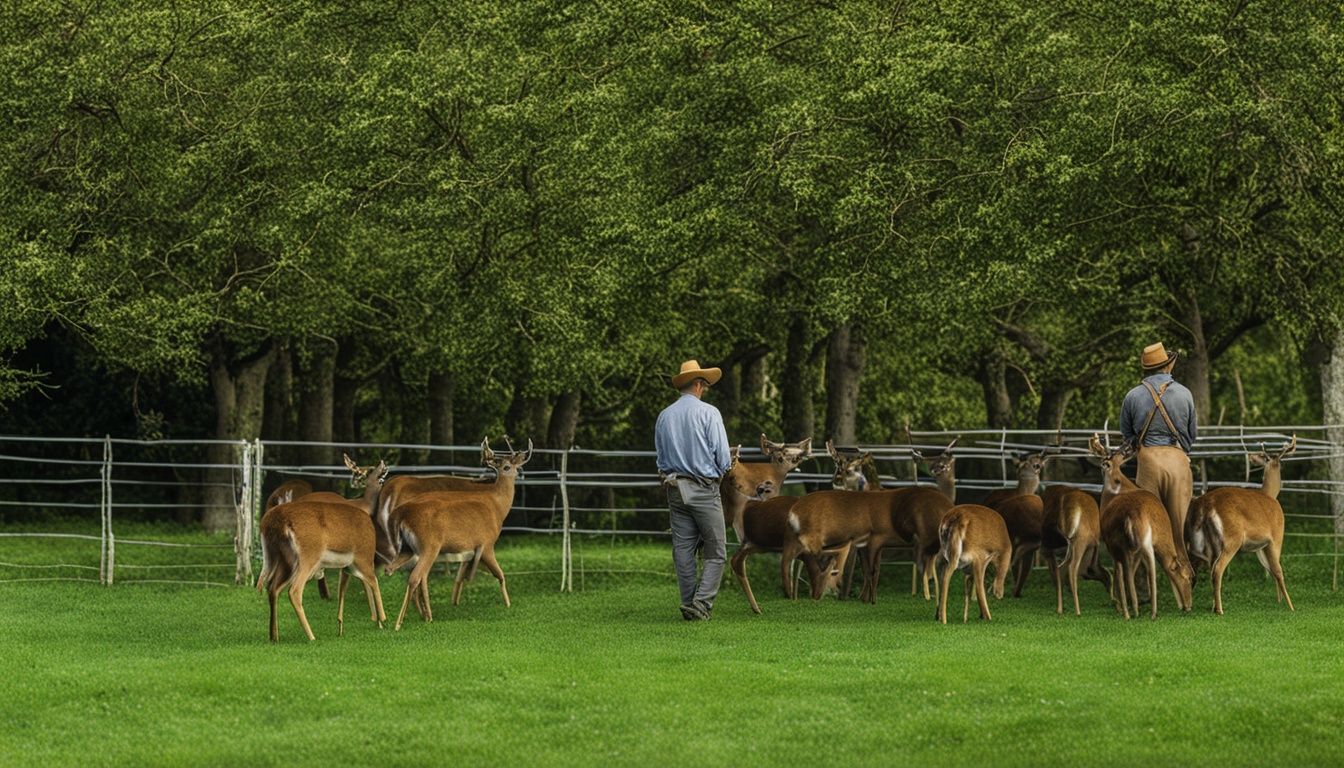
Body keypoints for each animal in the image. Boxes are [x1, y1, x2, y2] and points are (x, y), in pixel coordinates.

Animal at [384, 438, 529, 632]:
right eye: (507, 466)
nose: (519, 471)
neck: (497, 506)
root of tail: (400, 514)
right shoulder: (487, 543)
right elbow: (500, 574)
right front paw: (508, 605)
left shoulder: (469, 550)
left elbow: (460, 578)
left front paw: (455, 602)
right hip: (430, 546)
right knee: (416, 577)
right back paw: (405, 622)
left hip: (407, 548)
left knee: (392, 570)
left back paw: (414, 617)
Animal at [1091, 435, 1198, 621]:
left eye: (1109, 458)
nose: (1127, 446)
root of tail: (1142, 517)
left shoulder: (1112, 546)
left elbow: (1120, 574)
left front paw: (1123, 608)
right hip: (1162, 536)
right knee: (1174, 565)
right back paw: (1181, 605)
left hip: (1122, 542)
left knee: (1128, 571)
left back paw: (1132, 612)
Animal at [1193, 435, 1295, 616]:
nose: (1252, 457)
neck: (1270, 494)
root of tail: (1207, 505)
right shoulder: (1276, 535)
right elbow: (1278, 570)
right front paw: (1291, 607)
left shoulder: (1260, 546)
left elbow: (1270, 569)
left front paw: (1279, 601)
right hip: (1231, 539)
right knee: (1218, 569)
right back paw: (1220, 610)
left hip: (1210, 543)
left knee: (1211, 569)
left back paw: (1213, 606)